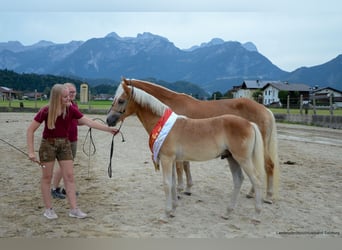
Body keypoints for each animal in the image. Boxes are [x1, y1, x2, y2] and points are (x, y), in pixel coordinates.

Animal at [106, 80, 264, 223]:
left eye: (121, 100)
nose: (109, 120)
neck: (162, 123)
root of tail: (250, 124)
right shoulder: (172, 160)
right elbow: (173, 183)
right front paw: (173, 210)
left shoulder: (167, 159)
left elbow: (167, 184)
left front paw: (165, 214)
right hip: (231, 158)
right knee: (238, 180)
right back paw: (227, 212)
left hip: (242, 159)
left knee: (256, 180)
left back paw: (256, 215)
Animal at [124, 78, 280, 203]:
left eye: (121, 99)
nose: (116, 118)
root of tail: (265, 110)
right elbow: (186, 165)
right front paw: (188, 188)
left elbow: (180, 167)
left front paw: (180, 189)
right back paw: (252, 193)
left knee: (268, 166)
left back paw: (268, 196)